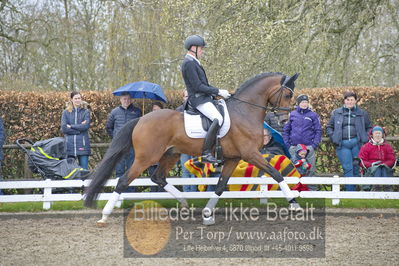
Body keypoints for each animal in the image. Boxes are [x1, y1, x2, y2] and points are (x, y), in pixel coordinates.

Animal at [86, 72, 302, 224]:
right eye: (287, 94)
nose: (284, 120)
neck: (245, 111)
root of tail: (141, 119)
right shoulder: (250, 154)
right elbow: (276, 173)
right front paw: (295, 204)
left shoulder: (234, 158)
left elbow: (221, 186)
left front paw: (207, 213)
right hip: (146, 157)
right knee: (123, 181)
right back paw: (104, 216)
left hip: (170, 154)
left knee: (158, 177)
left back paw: (184, 202)